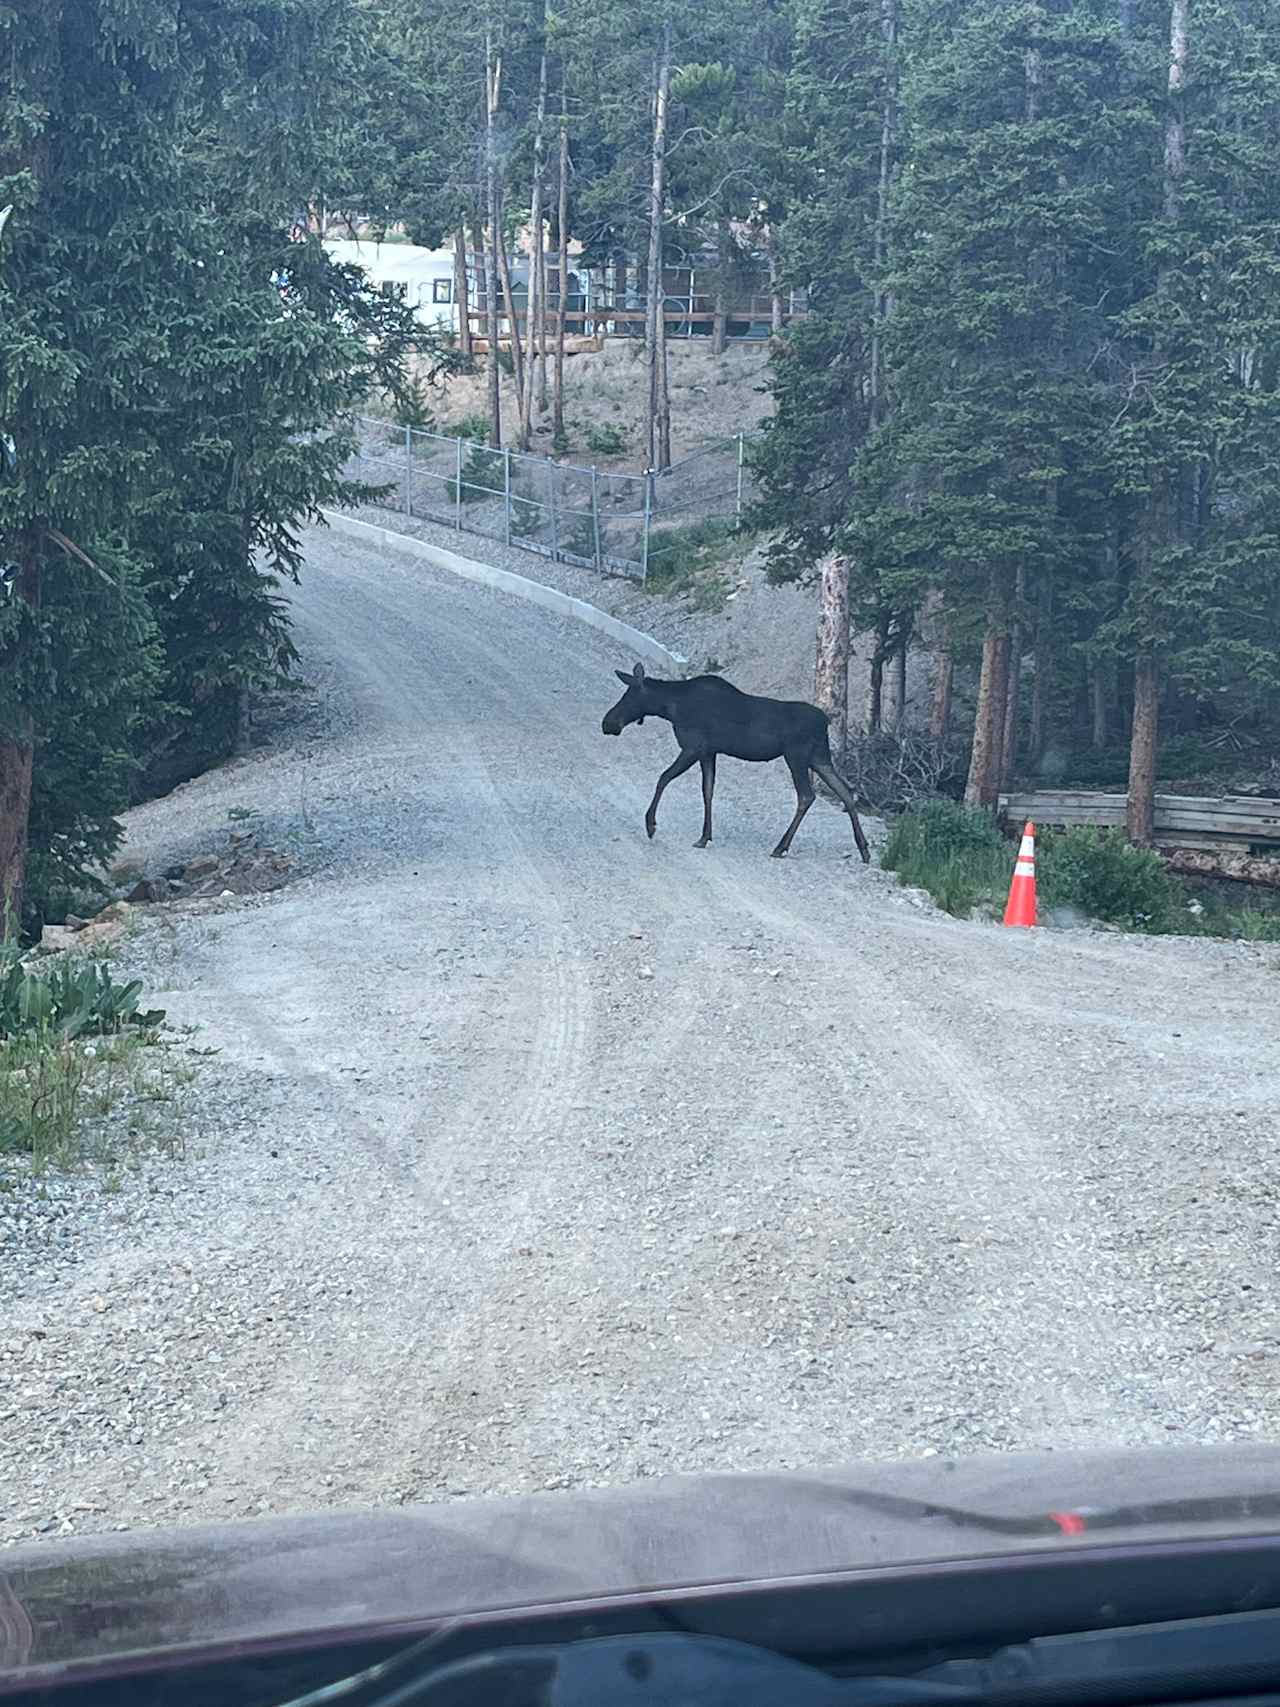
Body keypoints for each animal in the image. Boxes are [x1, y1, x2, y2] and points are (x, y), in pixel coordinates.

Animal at [600, 658, 873, 860]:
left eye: (628, 697)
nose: (607, 723)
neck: (670, 708)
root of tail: (825, 720)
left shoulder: (692, 747)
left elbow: (663, 778)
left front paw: (651, 824)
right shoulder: (708, 752)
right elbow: (707, 790)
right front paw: (704, 836)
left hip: (797, 755)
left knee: (807, 795)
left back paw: (780, 846)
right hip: (820, 758)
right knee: (846, 792)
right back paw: (863, 848)